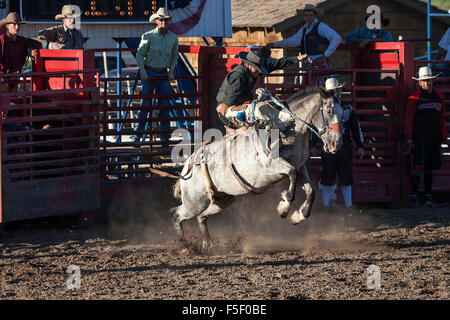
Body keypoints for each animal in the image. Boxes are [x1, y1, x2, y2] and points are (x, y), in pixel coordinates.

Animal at [171, 86, 342, 251]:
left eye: (343, 113)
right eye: (329, 110)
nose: (336, 143)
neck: (285, 127)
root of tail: (189, 164)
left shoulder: (300, 167)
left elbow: (310, 191)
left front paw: (298, 216)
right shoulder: (270, 166)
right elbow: (291, 174)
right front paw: (284, 207)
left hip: (221, 200)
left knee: (201, 217)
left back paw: (208, 246)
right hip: (195, 202)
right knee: (176, 214)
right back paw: (185, 247)